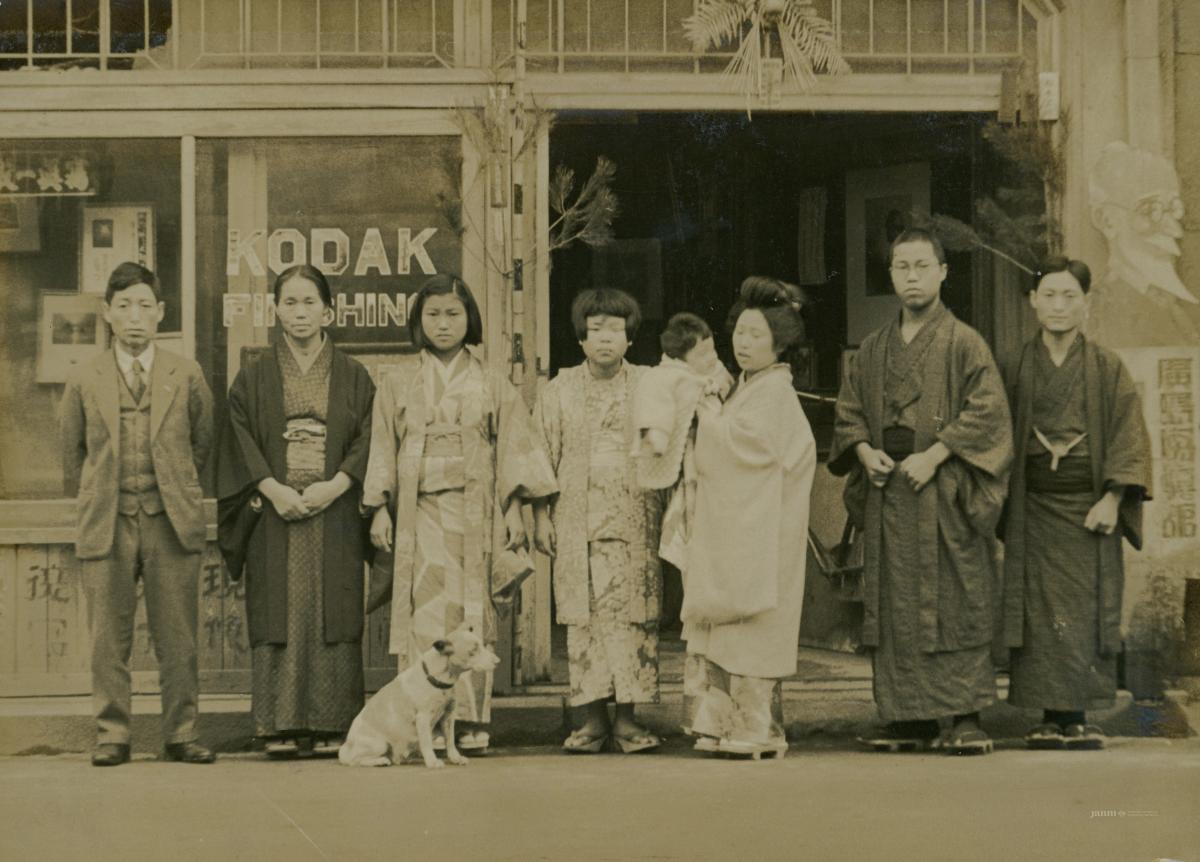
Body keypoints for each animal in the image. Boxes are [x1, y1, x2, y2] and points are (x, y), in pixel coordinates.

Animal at [340, 624, 499, 773]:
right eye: (474, 650)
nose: (498, 661)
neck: (438, 680)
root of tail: (345, 747)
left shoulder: (448, 717)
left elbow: (450, 741)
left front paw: (455, 758)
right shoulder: (423, 718)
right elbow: (427, 742)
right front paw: (432, 761)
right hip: (380, 744)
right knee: (355, 761)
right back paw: (380, 761)